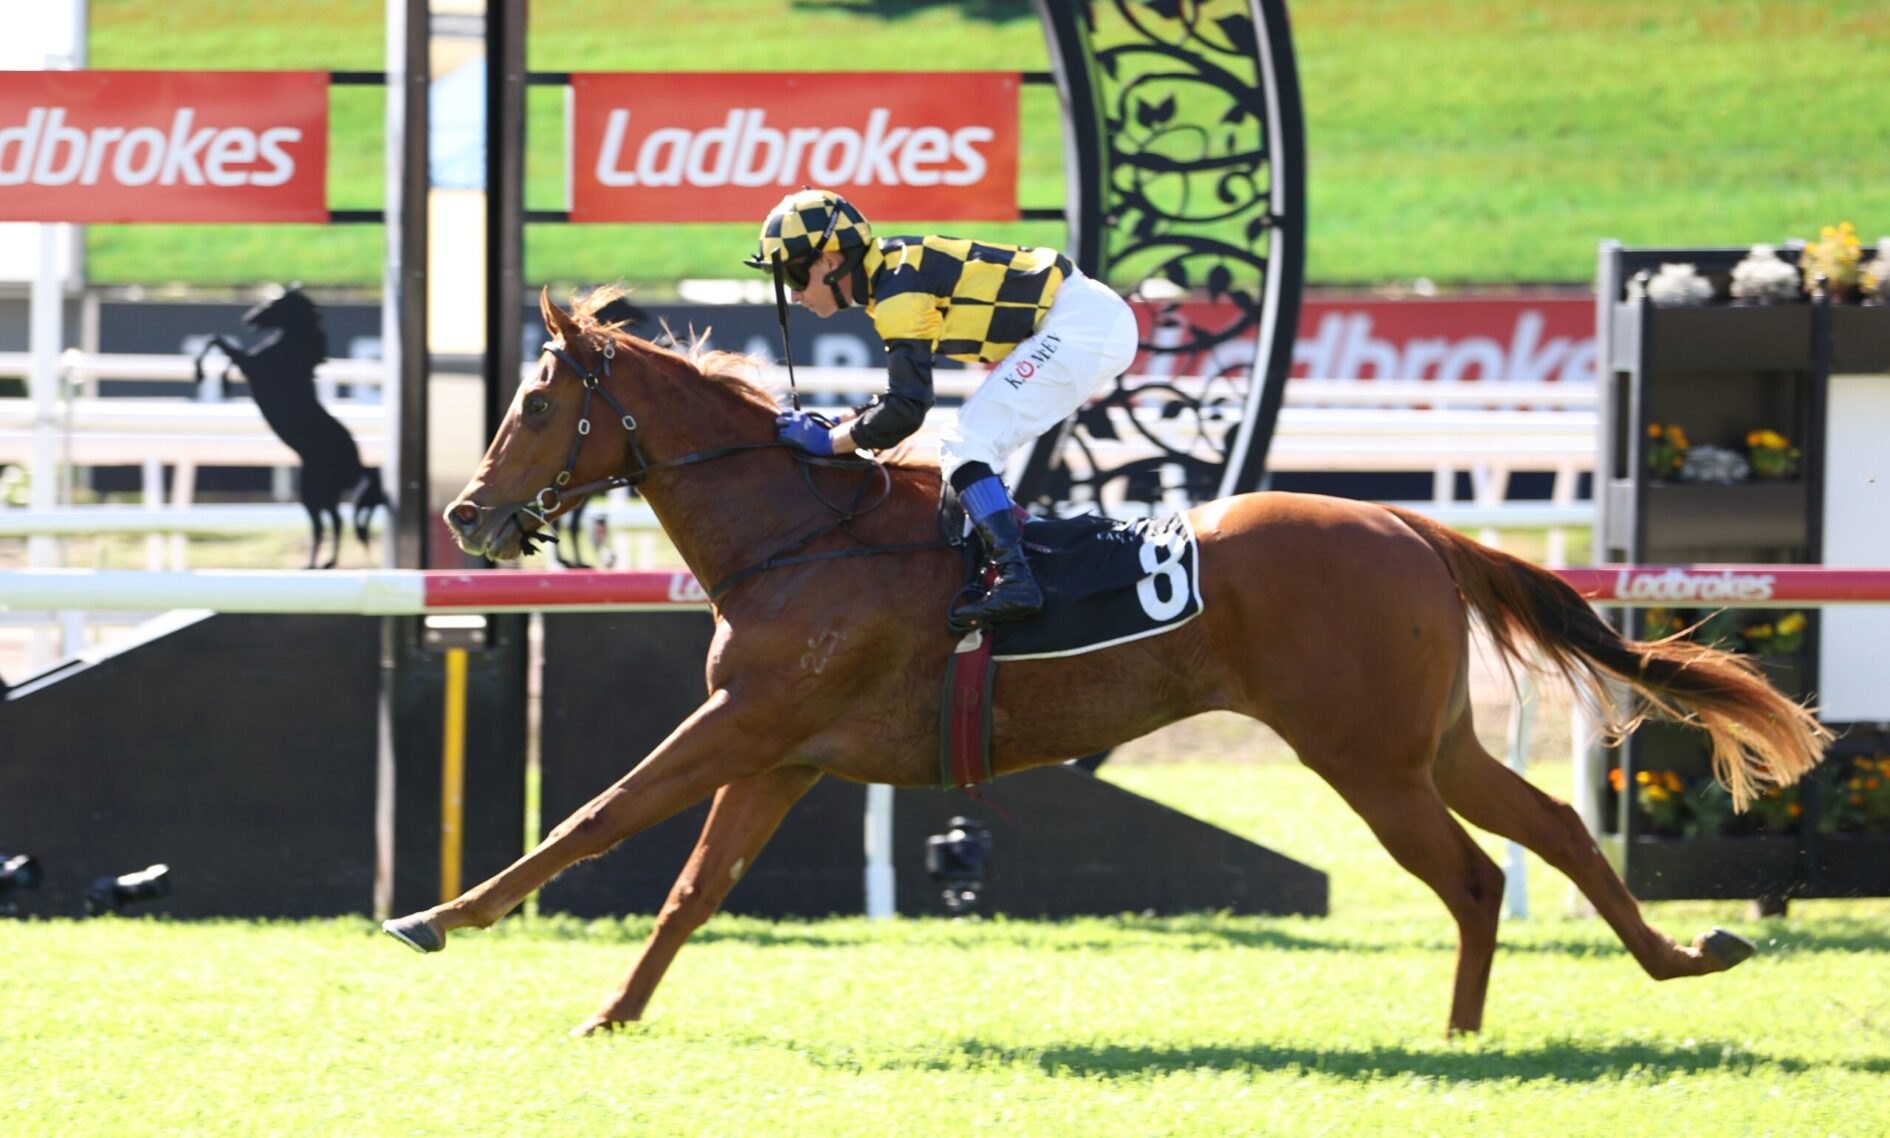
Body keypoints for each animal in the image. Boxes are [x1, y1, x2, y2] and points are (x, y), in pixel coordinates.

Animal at [194, 288, 388, 569]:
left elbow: (218, 342)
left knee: (327, 522)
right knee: (332, 520)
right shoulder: (251, 362)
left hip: (314, 489)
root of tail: (358, 464)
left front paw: (204, 375)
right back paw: (322, 563)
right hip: (319, 491)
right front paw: (221, 381)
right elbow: (222, 347)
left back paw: (317, 564)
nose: (248, 318)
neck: (292, 350)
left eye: (276, 302)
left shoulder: (252, 365)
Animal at [384, 288, 1830, 1039]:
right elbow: (693, 886)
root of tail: (1408, 520)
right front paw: (613, 1011)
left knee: (1476, 875)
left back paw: (1459, 1033)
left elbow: (592, 817)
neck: (803, 531)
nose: (466, 514)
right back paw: (1678, 958)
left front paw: (439, 916)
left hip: (1363, 756)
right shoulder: (782, 749)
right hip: (1431, 742)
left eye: (530, 404)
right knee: (1555, 833)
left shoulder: (746, 723)